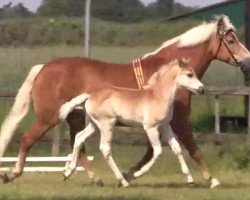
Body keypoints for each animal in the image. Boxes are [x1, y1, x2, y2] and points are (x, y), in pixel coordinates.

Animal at [61, 58, 205, 187]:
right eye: (189, 74)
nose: (202, 89)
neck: (158, 97)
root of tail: (90, 95)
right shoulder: (150, 127)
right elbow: (158, 151)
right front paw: (136, 174)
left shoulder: (165, 126)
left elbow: (177, 148)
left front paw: (190, 180)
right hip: (107, 124)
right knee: (105, 148)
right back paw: (123, 181)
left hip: (94, 125)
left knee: (79, 137)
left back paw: (67, 172)